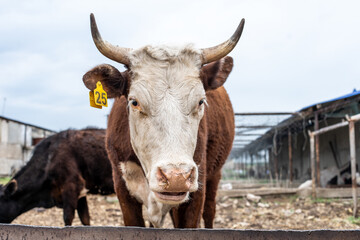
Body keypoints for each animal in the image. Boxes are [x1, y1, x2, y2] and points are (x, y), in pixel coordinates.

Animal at [83, 13, 243, 229]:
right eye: (134, 102)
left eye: (200, 101)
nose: (176, 177)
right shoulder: (123, 190)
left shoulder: (196, 192)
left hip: (214, 175)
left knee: (210, 211)